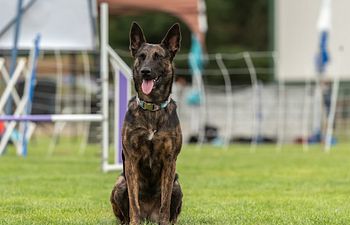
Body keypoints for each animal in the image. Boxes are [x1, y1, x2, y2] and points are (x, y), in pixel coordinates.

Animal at [110, 22, 183, 225]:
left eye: (159, 57)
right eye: (141, 56)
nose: (145, 71)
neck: (152, 108)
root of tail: (149, 216)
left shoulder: (169, 161)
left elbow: (165, 202)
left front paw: (164, 222)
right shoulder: (132, 160)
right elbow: (133, 201)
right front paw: (134, 222)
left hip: (177, 184)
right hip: (120, 183)